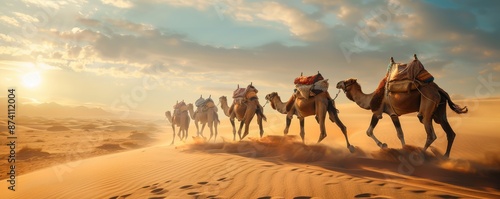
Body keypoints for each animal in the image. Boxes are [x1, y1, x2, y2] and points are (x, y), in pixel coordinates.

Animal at [336, 55, 468, 157]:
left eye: (347, 81)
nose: (337, 83)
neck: (370, 99)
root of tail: (439, 90)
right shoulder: (393, 114)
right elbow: (400, 133)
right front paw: (404, 149)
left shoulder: (377, 112)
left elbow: (369, 131)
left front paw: (384, 145)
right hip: (440, 108)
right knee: (449, 132)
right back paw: (445, 157)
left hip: (427, 105)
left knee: (431, 134)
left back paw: (420, 154)